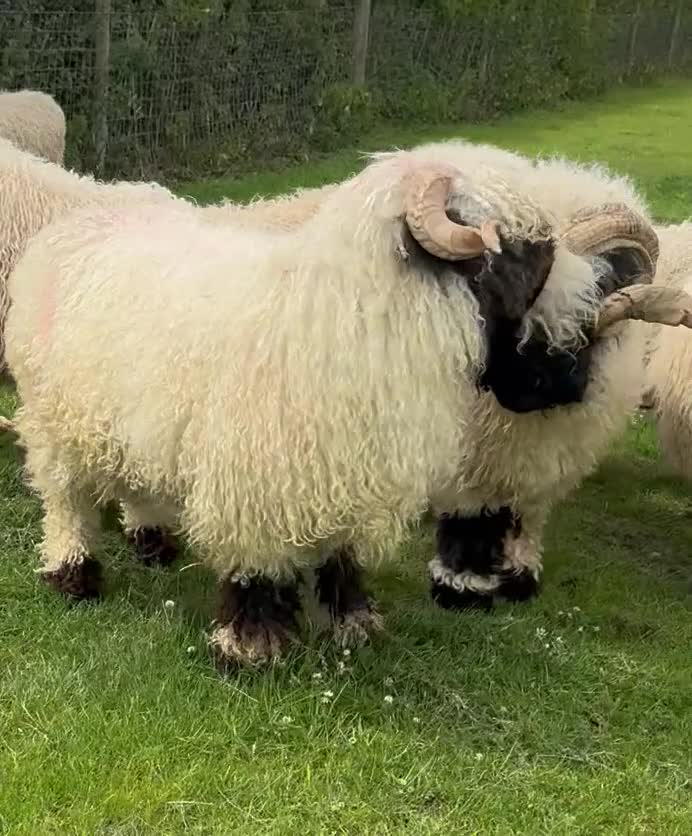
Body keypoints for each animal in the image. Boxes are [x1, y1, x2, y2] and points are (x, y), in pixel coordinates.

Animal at [6, 145, 682, 667]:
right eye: (512, 257)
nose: (553, 384)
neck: (345, 314)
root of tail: (89, 213)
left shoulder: (359, 468)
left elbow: (345, 557)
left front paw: (354, 625)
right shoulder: (255, 478)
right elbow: (257, 564)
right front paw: (251, 648)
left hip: (120, 420)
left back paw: (151, 540)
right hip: (53, 420)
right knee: (64, 499)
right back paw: (73, 574)